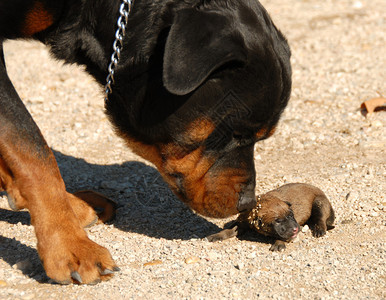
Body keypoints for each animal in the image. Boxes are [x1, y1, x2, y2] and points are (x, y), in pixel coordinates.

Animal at [207, 183, 336, 251]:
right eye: (277, 221)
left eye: (291, 215)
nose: (296, 229)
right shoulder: (242, 222)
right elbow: (228, 230)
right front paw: (216, 235)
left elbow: (284, 236)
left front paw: (278, 244)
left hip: (319, 202)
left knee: (321, 219)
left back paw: (319, 230)